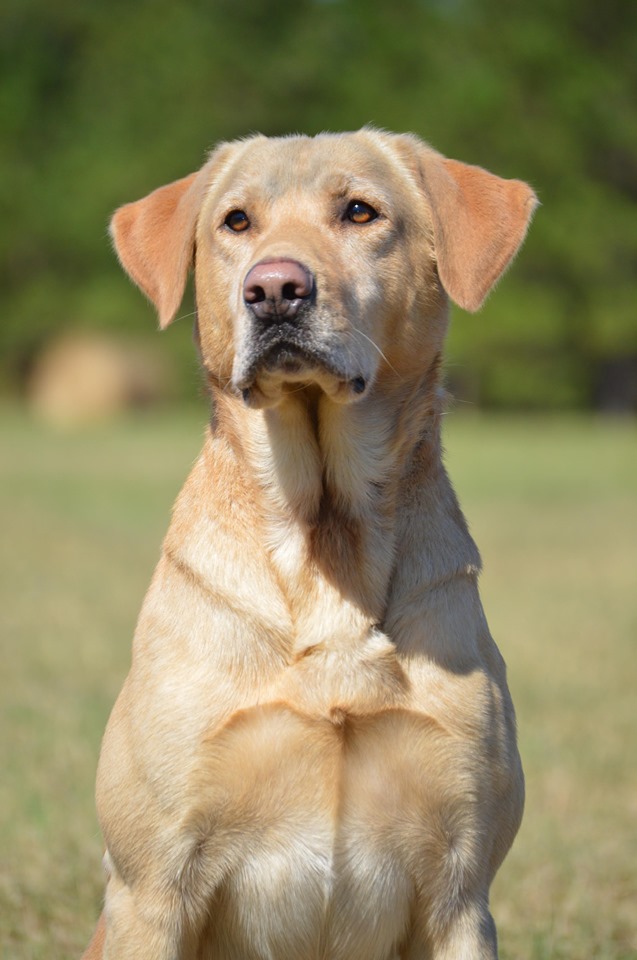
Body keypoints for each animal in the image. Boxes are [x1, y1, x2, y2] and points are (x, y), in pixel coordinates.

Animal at [80, 129, 536, 960]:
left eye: (359, 211)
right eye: (235, 222)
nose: (274, 288)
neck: (326, 534)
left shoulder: (459, 891)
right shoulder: (151, 888)